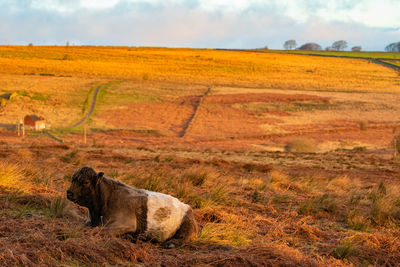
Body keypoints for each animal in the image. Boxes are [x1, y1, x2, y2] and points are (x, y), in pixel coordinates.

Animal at [66, 166, 198, 248]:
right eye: (72, 179)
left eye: (86, 182)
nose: (69, 193)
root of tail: (187, 206)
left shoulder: (125, 224)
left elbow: (101, 230)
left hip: (186, 225)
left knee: (184, 238)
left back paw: (170, 243)